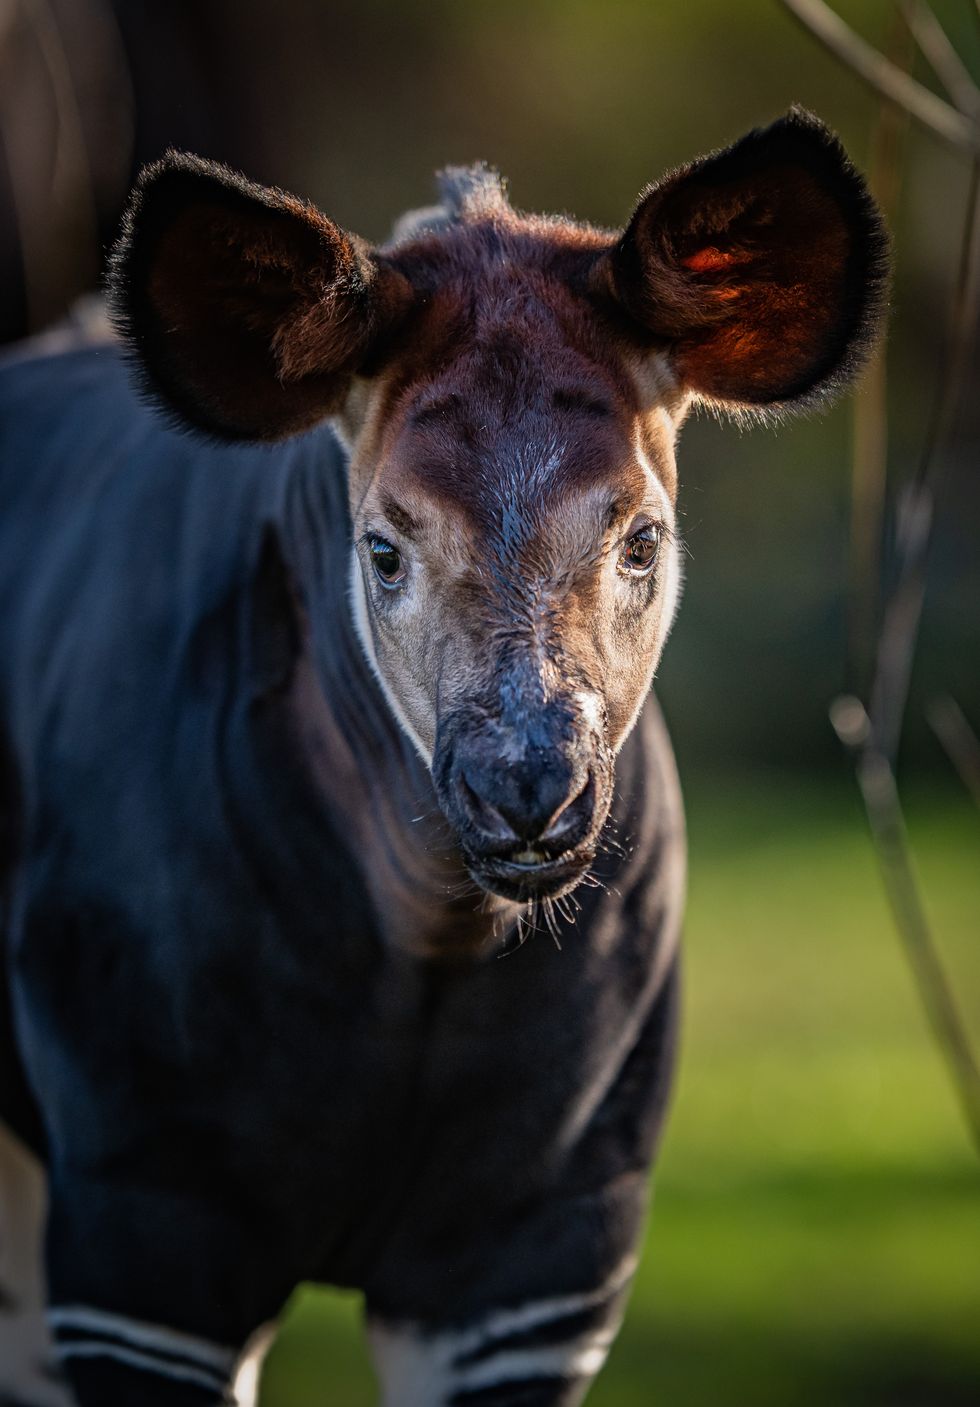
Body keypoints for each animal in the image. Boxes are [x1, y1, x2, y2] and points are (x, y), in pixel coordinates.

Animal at [0, 109, 887, 1407]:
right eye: (381, 548)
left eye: (641, 538)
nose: (527, 794)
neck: (424, 946)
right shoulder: (150, 1227)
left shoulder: (529, 1267)